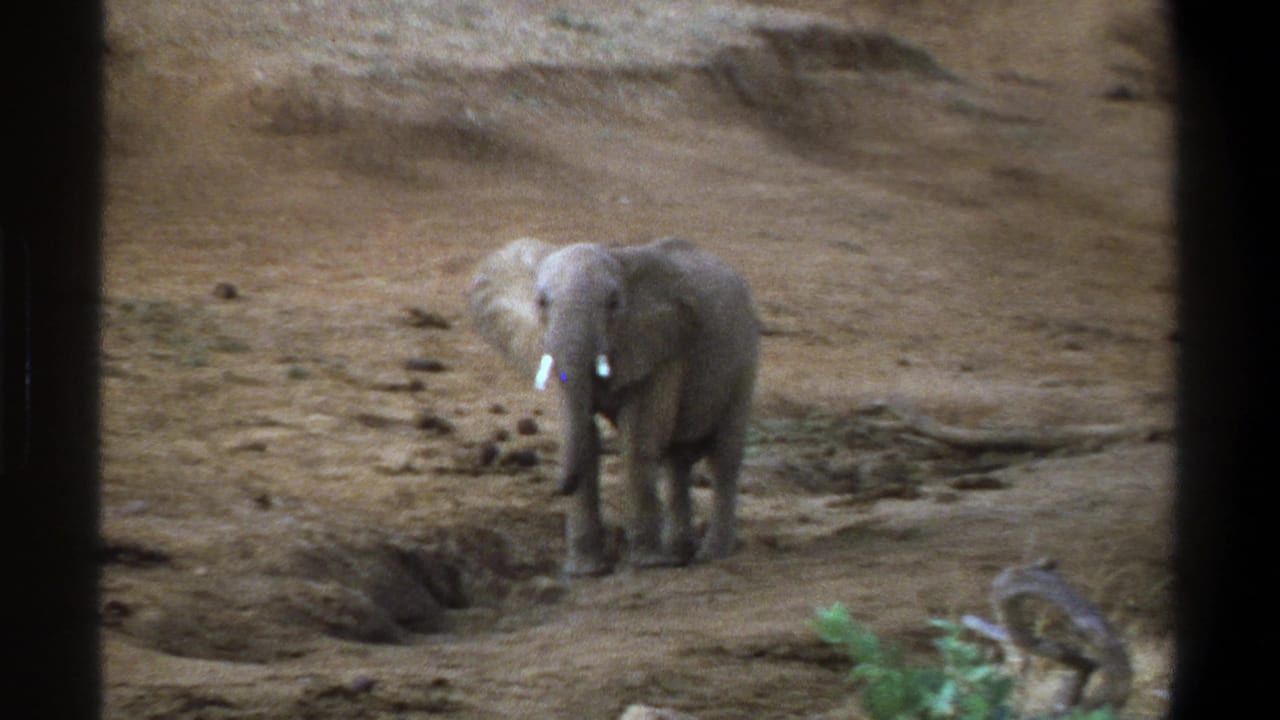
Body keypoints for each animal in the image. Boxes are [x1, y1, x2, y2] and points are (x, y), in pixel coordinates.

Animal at [467, 237, 760, 576]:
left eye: (613, 304)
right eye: (541, 302)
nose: (559, 487)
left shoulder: (660, 346)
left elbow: (637, 440)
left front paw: (646, 564)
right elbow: (586, 440)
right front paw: (585, 572)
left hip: (745, 360)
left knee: (724, 457)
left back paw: (711, 554)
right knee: (676, 460)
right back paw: (678, 555)